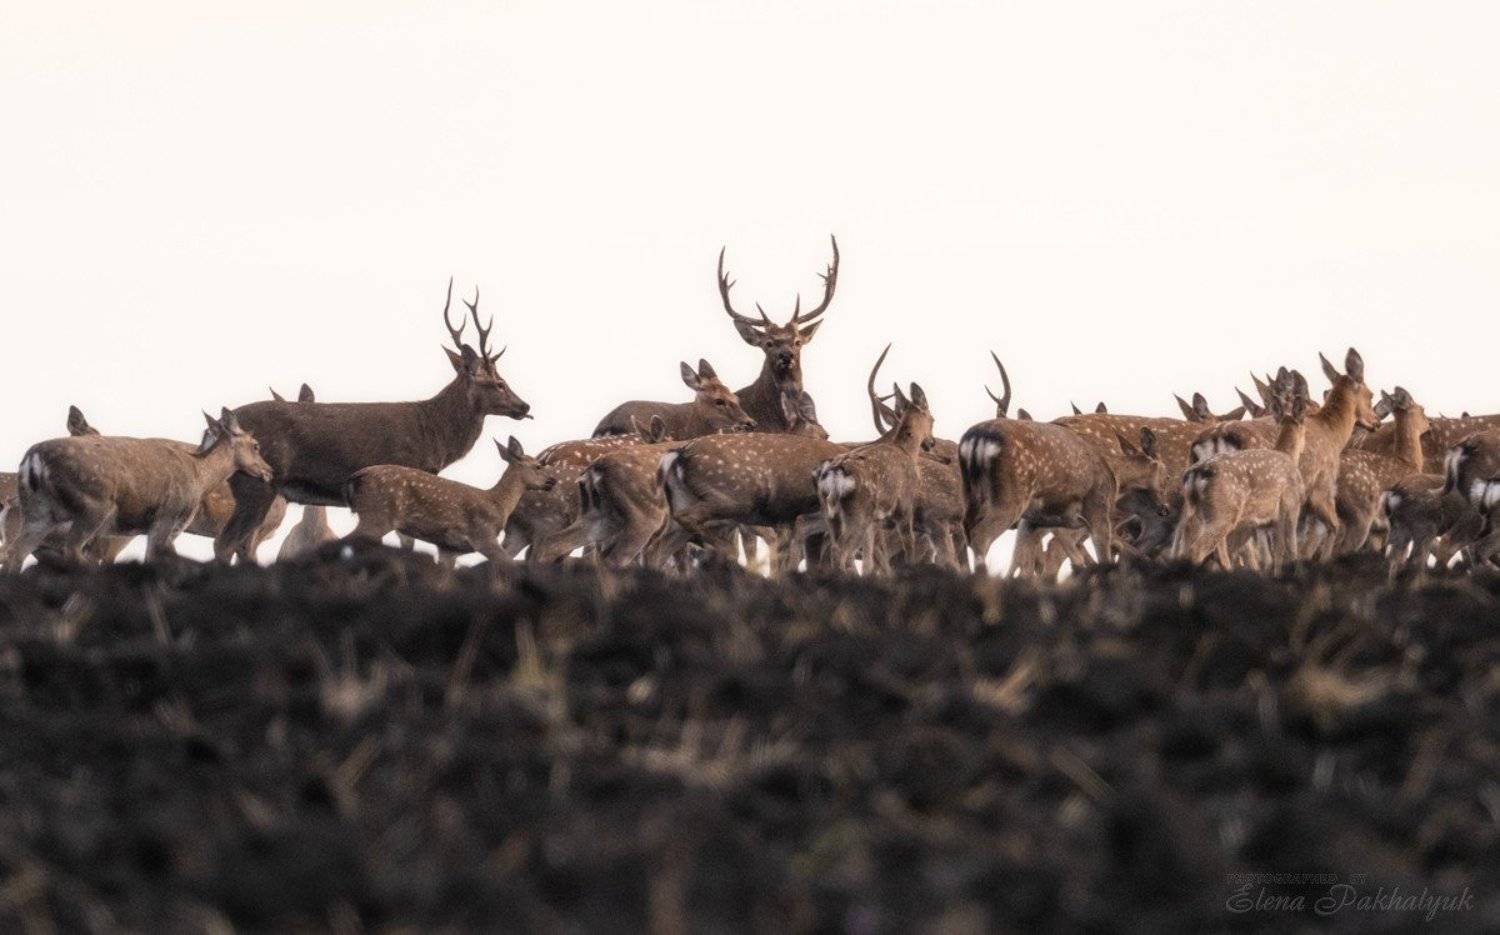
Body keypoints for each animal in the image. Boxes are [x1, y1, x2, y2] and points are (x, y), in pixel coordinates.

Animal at [3, 410, 274, 570]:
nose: (268, 471)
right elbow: (152, 559)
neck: (201, 476)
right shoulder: (167, 516)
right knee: (72, 550)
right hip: (93, 507)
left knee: (15, 553)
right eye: (256, 445)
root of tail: (32, 462)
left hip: (39, 513)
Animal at [215, 280, 531, 562]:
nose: (524, 405)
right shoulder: (406, 472)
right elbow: (407, 543)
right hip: (256, 484)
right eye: (499, 383)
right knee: (227, 542)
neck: (434, 433)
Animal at [343, 437, 554, 567]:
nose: (552, 480)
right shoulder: (483, 535)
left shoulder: (448, 548)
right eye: (538, 466)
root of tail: (357, 477)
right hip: (379, 513)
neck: (498, 503)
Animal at [815, 383, 935, 574]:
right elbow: (908, 542)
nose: (930, 443)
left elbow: (869, 560)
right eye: (933, 419)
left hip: (830, 513)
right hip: (858, 513)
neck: (907, 451)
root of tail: (835, 475)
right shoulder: (905, 503)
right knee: (841, 550)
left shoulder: (875, 520)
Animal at [1171, 370, 1309, 571]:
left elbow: (1276, 554)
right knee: (1200, 550)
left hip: (1195, 511)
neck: (1287, 454)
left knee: (1184, 545)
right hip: (1224, 513)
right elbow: (1289, 550)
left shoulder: (1265, 520)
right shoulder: (1291, 504)